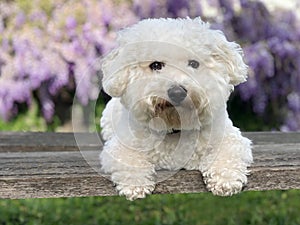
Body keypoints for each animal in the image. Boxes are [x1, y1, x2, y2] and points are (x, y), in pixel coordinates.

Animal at [99, 17, 252, 200]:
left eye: (194, 63)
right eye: (156, 65)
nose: (177, 92)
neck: (175, 126)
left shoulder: (230, 138)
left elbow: (227, 154)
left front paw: (226, 180)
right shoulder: (122, 146)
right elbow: (130, 161)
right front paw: (135, 185)